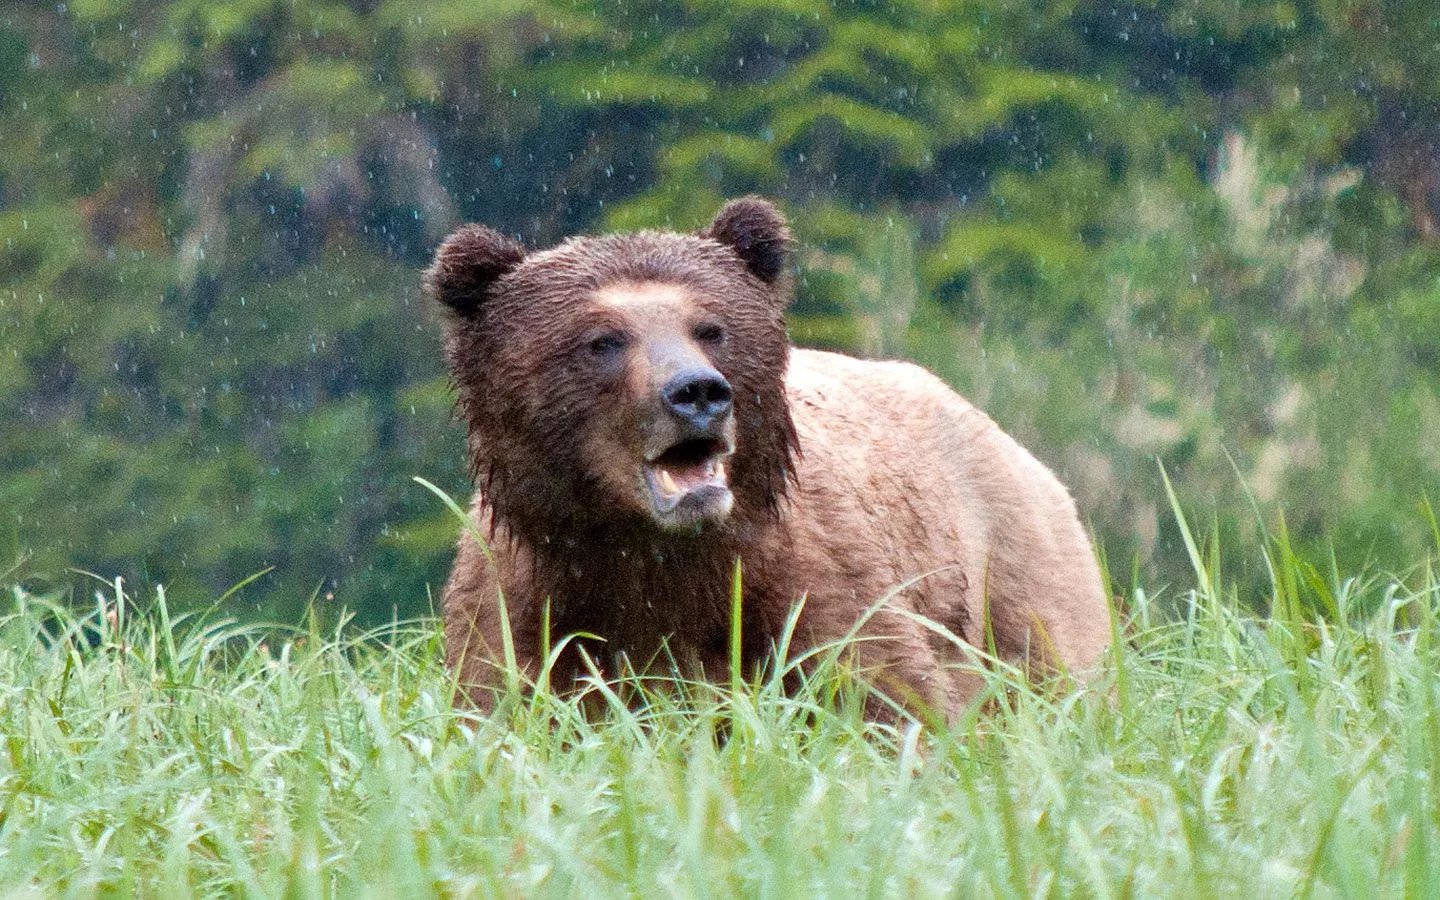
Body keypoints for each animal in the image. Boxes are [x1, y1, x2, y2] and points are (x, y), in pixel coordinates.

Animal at [426, 197, 1110, 723]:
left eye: (711, 328)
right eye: (602, 340)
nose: (697, 392)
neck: (650, 555)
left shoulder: (809, 589)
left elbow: (887, 697)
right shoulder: (523, 615)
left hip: (1014, 570)